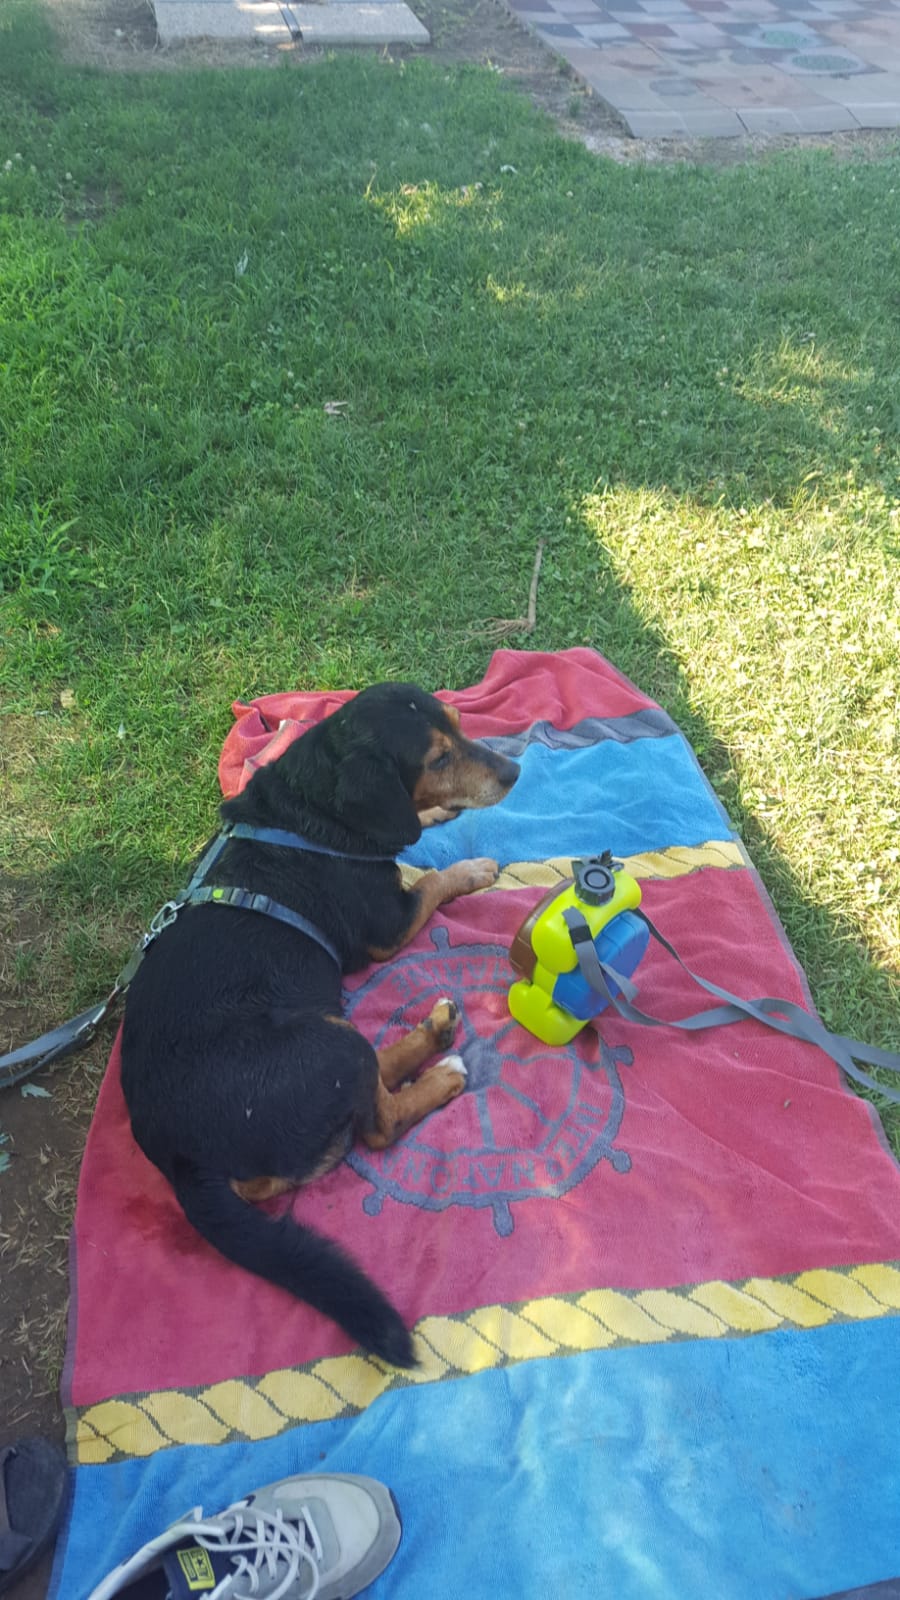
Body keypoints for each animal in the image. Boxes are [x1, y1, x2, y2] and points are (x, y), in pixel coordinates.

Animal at [119, 681, 515, 1369]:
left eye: (462, 727)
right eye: (437, 758)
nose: (515, 771)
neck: (309, 818)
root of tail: (179, 1158)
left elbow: (418, 834)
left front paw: (435, 816)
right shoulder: (390, 925)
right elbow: (434, 879)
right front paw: (471, 868)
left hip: (327, 1031)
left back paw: (433, 1032)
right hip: (329, 1045)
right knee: (380, 1123)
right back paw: (442, 1069)